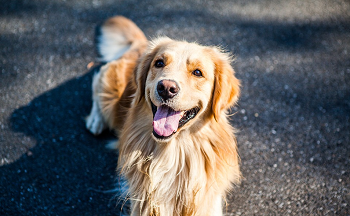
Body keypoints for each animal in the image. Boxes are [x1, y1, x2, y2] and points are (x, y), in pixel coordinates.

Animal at [86, 15, 242, 216]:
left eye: (197, 72)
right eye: (159, 63)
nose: (166, 88)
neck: (174, 151)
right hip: (110, 92)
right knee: (97, 80)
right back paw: (95, 120)